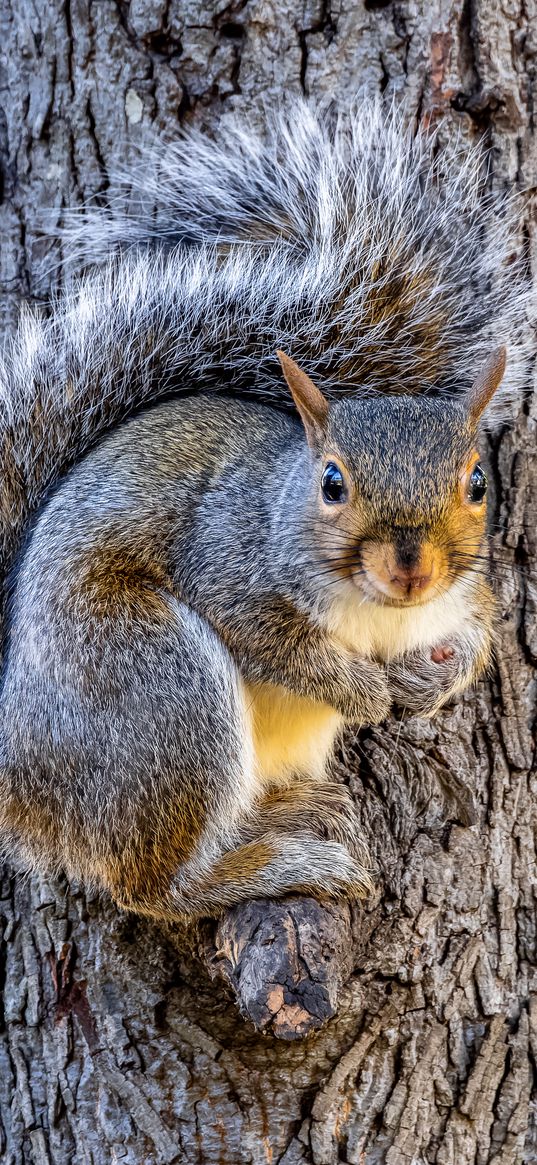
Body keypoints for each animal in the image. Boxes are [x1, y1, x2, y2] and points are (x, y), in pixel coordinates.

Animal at [0, 100, 528, 918]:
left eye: (477, 484)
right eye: (332, 483)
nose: (410, 570)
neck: (381, 613)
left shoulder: (462, 588)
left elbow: (475, 630)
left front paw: (434, 677)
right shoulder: (226, 558)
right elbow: (274, 640)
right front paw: (366, 689)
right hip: (154, 690)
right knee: (156, 886)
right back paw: (275, 864)